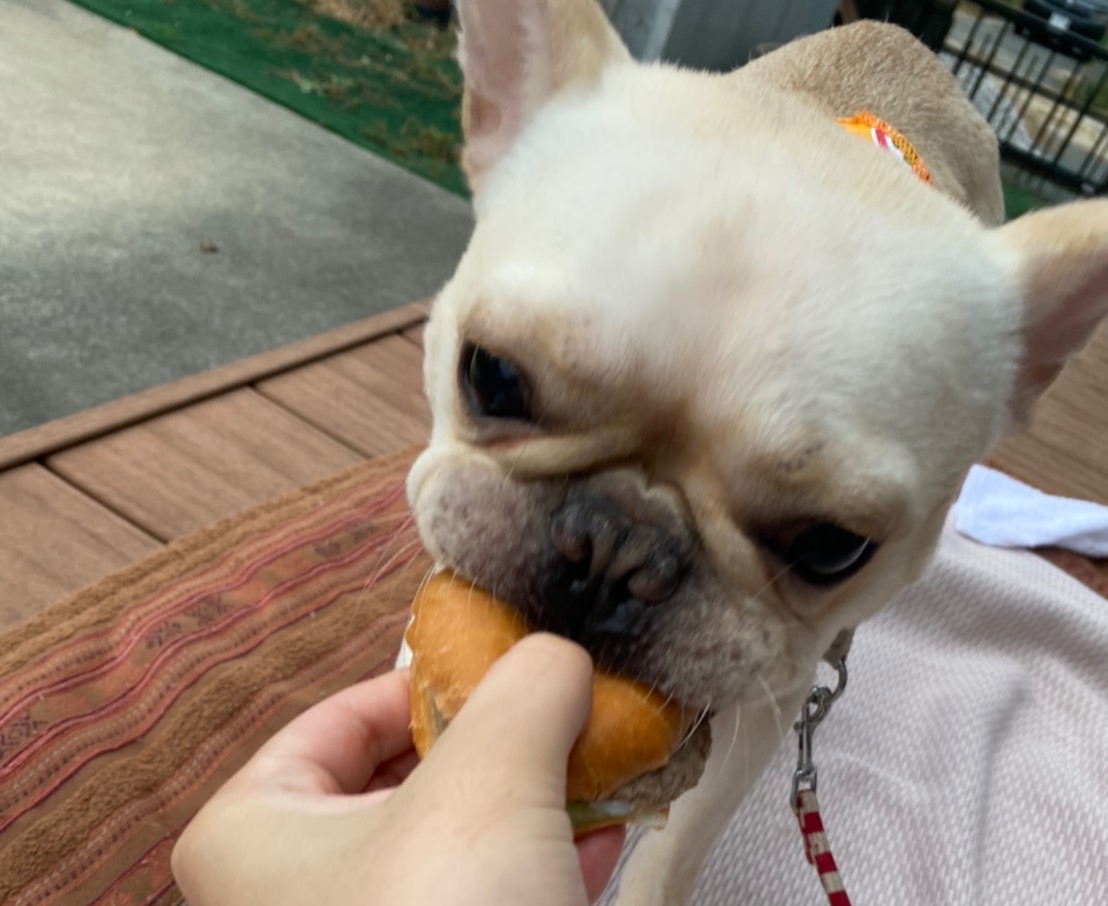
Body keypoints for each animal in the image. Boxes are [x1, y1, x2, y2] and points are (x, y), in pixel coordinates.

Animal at [403, 0, 1108, 901]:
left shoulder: (756, 710)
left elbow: (674, 845)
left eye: (833, 548)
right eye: (491, 374)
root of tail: (903, 40)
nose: (616, 546)